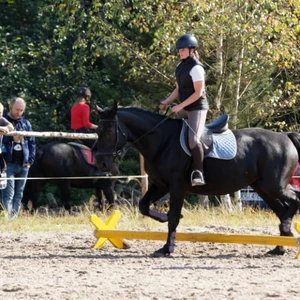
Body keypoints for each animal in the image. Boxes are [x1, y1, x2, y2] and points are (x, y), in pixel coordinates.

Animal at [95, 102, 300, 255]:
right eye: (97, 131)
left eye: (108, 132)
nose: (102, 164)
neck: (162, 141)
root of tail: (285, 136)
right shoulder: (161, 185)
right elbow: (144, 206)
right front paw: (163, 220)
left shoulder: (177, 186)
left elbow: (173, 217)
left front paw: (167, 248)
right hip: (262, 188)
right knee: (282, 209)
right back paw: (281, 244)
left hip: (274, 185)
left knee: (294, 200)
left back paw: (286, 229)